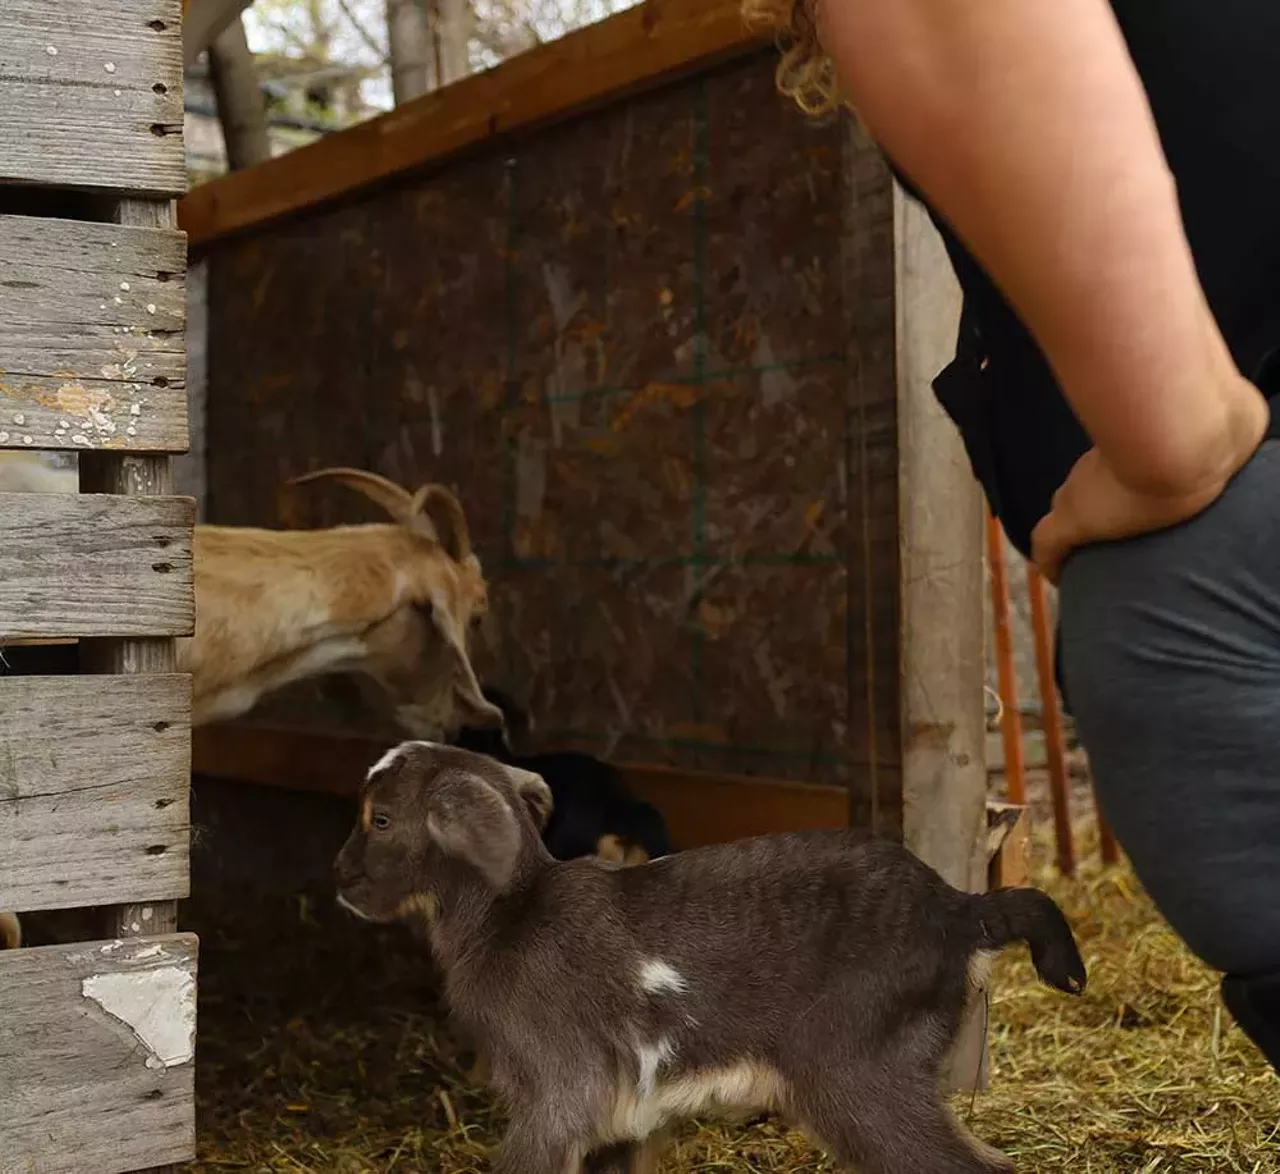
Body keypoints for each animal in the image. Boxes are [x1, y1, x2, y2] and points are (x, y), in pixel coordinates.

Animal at [335, 742, 1085, 1172]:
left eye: (380, 817)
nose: (340, 878)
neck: (511, 915)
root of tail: (959, 909)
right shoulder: (619, 1118)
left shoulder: (560, 1089)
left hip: (859, 1064)